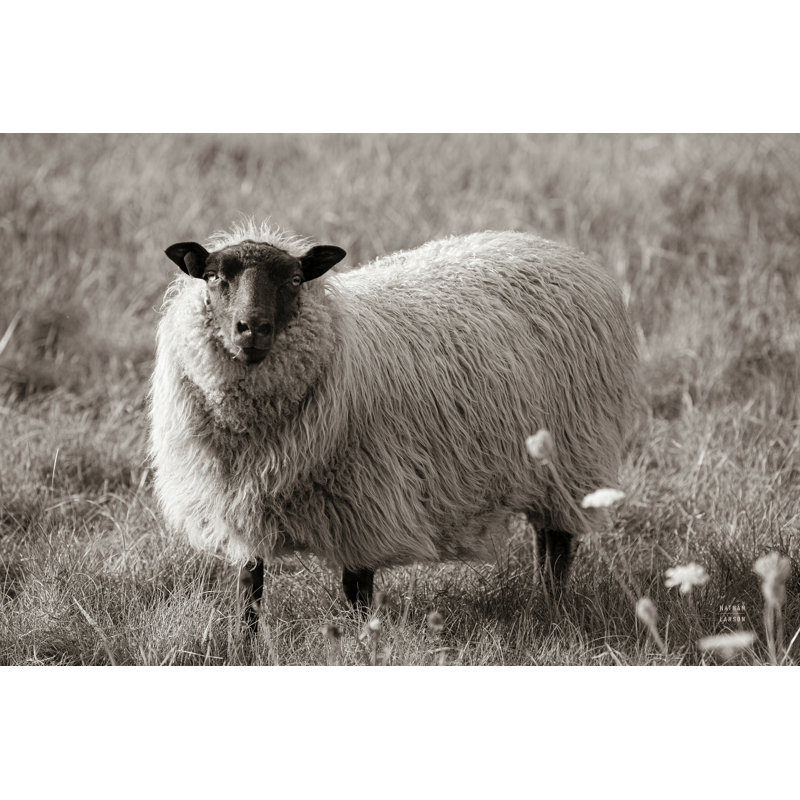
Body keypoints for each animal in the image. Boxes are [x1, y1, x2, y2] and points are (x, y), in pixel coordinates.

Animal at [150, 221, 637, 631]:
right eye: (214, 276)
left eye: (294, 280)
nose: (252, 329)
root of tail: (554, 248)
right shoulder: (240, 506)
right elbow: (250, 587)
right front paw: (246, 643)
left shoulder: (364, 503)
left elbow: (357, 590)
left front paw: (362, 642)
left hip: (573, 453)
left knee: (557, 542)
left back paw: (552, 603)